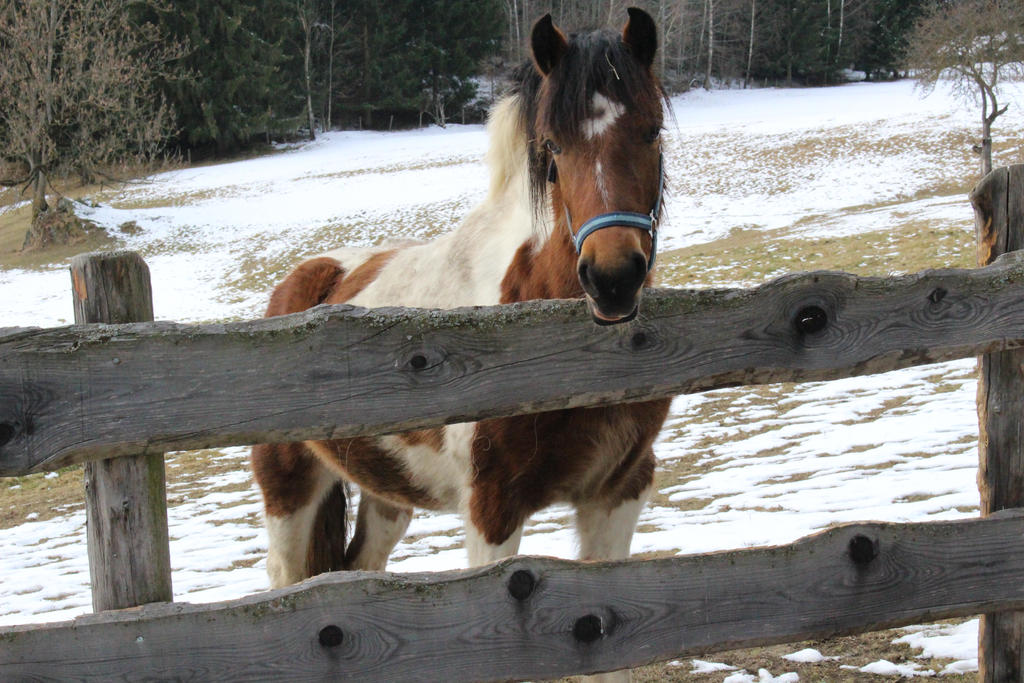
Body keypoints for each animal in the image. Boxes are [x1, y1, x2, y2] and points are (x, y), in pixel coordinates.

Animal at [251, 7, 671, 602]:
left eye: (651, 131)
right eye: (553, 146)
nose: (613, 278)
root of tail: (304, 281)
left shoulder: (619, 494)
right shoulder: (491, 511)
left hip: (389, 492)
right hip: (289, 490)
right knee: (285, 576)